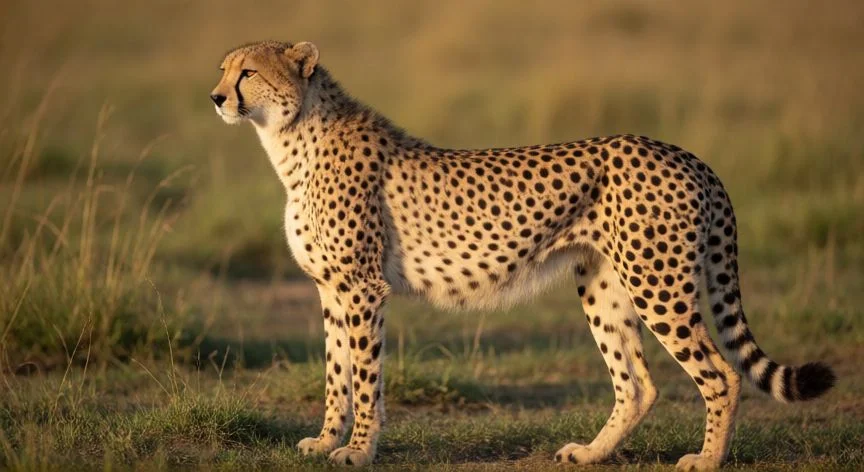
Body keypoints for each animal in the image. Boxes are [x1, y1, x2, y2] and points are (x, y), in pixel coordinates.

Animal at [210, 40, 835, 470]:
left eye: (248, 72)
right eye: (223, 68)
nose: (215, 97)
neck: (292, 137)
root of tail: (687, 154)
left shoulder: (361, 287)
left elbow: (364, 376)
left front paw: (359, 451)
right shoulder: (332, 287)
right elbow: (336, 371)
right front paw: (325, 441)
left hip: (657, 283)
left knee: (721, 375)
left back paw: (706, 460)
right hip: (604, 284)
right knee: (638, 383)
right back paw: (591, 453)